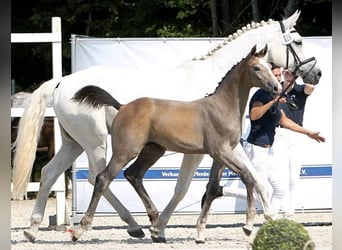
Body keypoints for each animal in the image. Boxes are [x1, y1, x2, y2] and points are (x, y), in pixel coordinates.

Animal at [71, 45, 282, 242]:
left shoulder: (220, 156)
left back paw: (155, 225)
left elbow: (213, 189)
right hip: (125, 151)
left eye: (268, 66)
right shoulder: (221, 152)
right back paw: (82, 229)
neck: (222, 107)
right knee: (103, 178)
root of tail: (122, 107)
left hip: (153, 150)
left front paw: (200, 233)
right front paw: (248, 226)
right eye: (256, 68)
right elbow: (248, 177)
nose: (277, 88)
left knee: (133, 174)